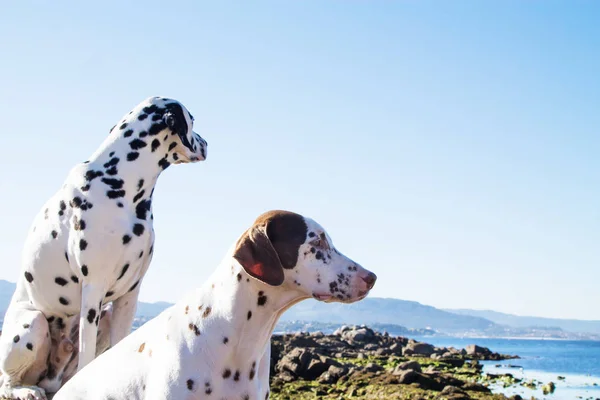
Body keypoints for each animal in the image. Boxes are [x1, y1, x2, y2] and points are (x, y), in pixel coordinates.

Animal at [0, 97, 209, 400]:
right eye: (192, 121)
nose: (206, 143)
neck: (120, 182)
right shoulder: (93, 290)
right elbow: (88, 356)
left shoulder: (129, 294)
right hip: (33, 323)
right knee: (7, 382)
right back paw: (25, 390)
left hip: (104, 317)